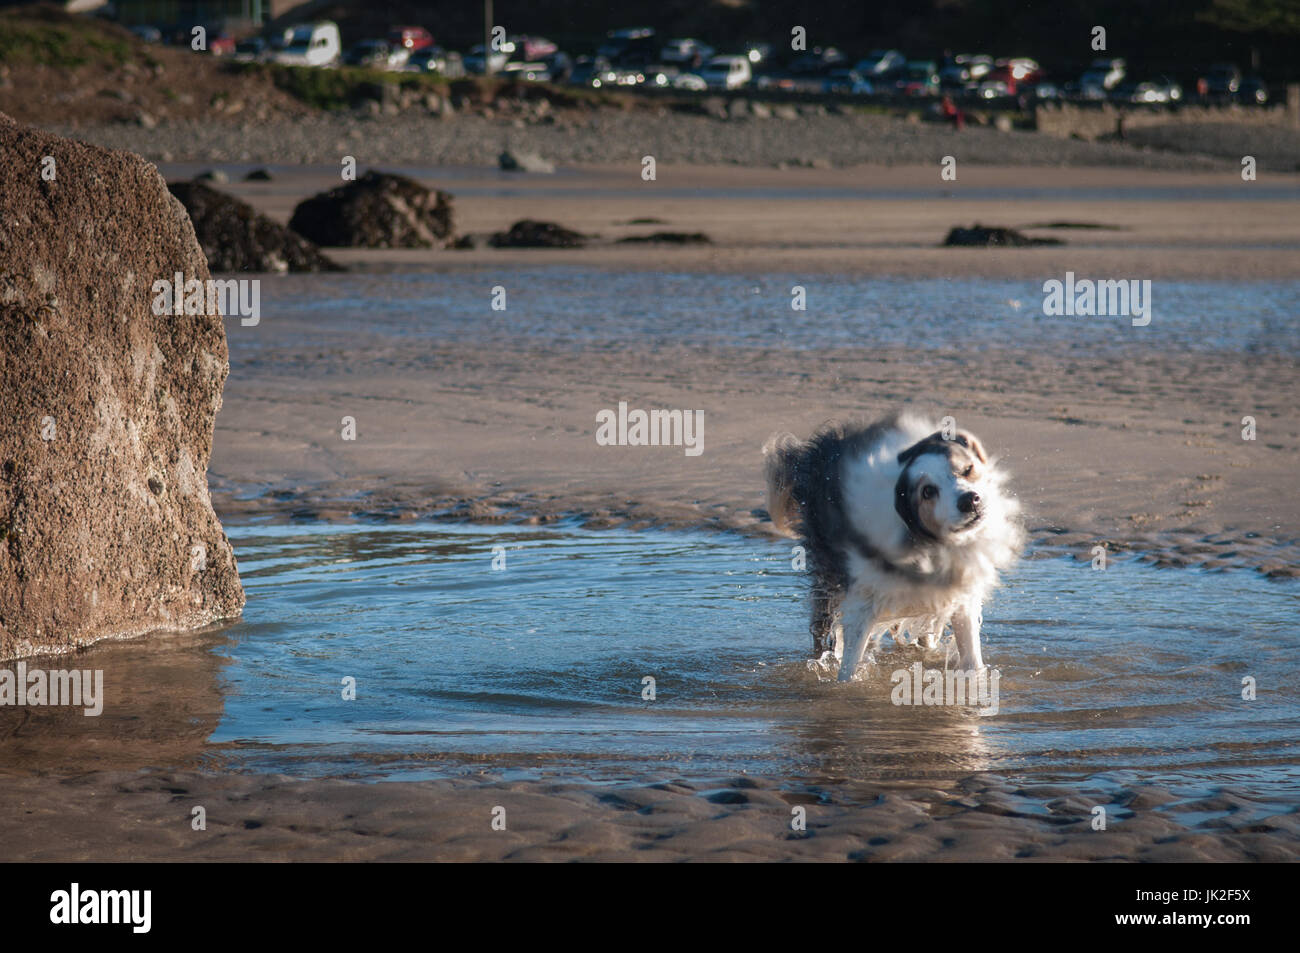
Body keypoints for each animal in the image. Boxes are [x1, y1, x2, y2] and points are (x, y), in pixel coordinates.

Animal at [759, 413, 1024, 681]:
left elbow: (972, 657)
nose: (970, 500)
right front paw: (844, 684)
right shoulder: (862, 598)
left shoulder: (962, 596)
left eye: (968, 470)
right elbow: (849, 663)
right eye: (928, 491)